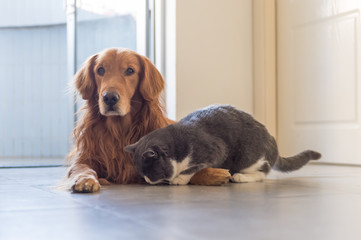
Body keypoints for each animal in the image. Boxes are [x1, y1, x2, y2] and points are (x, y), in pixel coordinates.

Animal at [65, 47, 229, 192]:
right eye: (100, 70)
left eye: (130, 70)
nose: (110, 98)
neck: (119, 130)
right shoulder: (86, 158)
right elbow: (80, 168)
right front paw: (85, 180)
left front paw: (213, 173)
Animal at [124, 104, 320, 185]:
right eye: (143, 174)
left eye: (151, 172)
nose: (147, 181)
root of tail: (274, 144)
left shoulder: (214, 149)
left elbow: (192, 167)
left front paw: (179, 178)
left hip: (249, 156)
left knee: (262, 173)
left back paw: (240, 177)